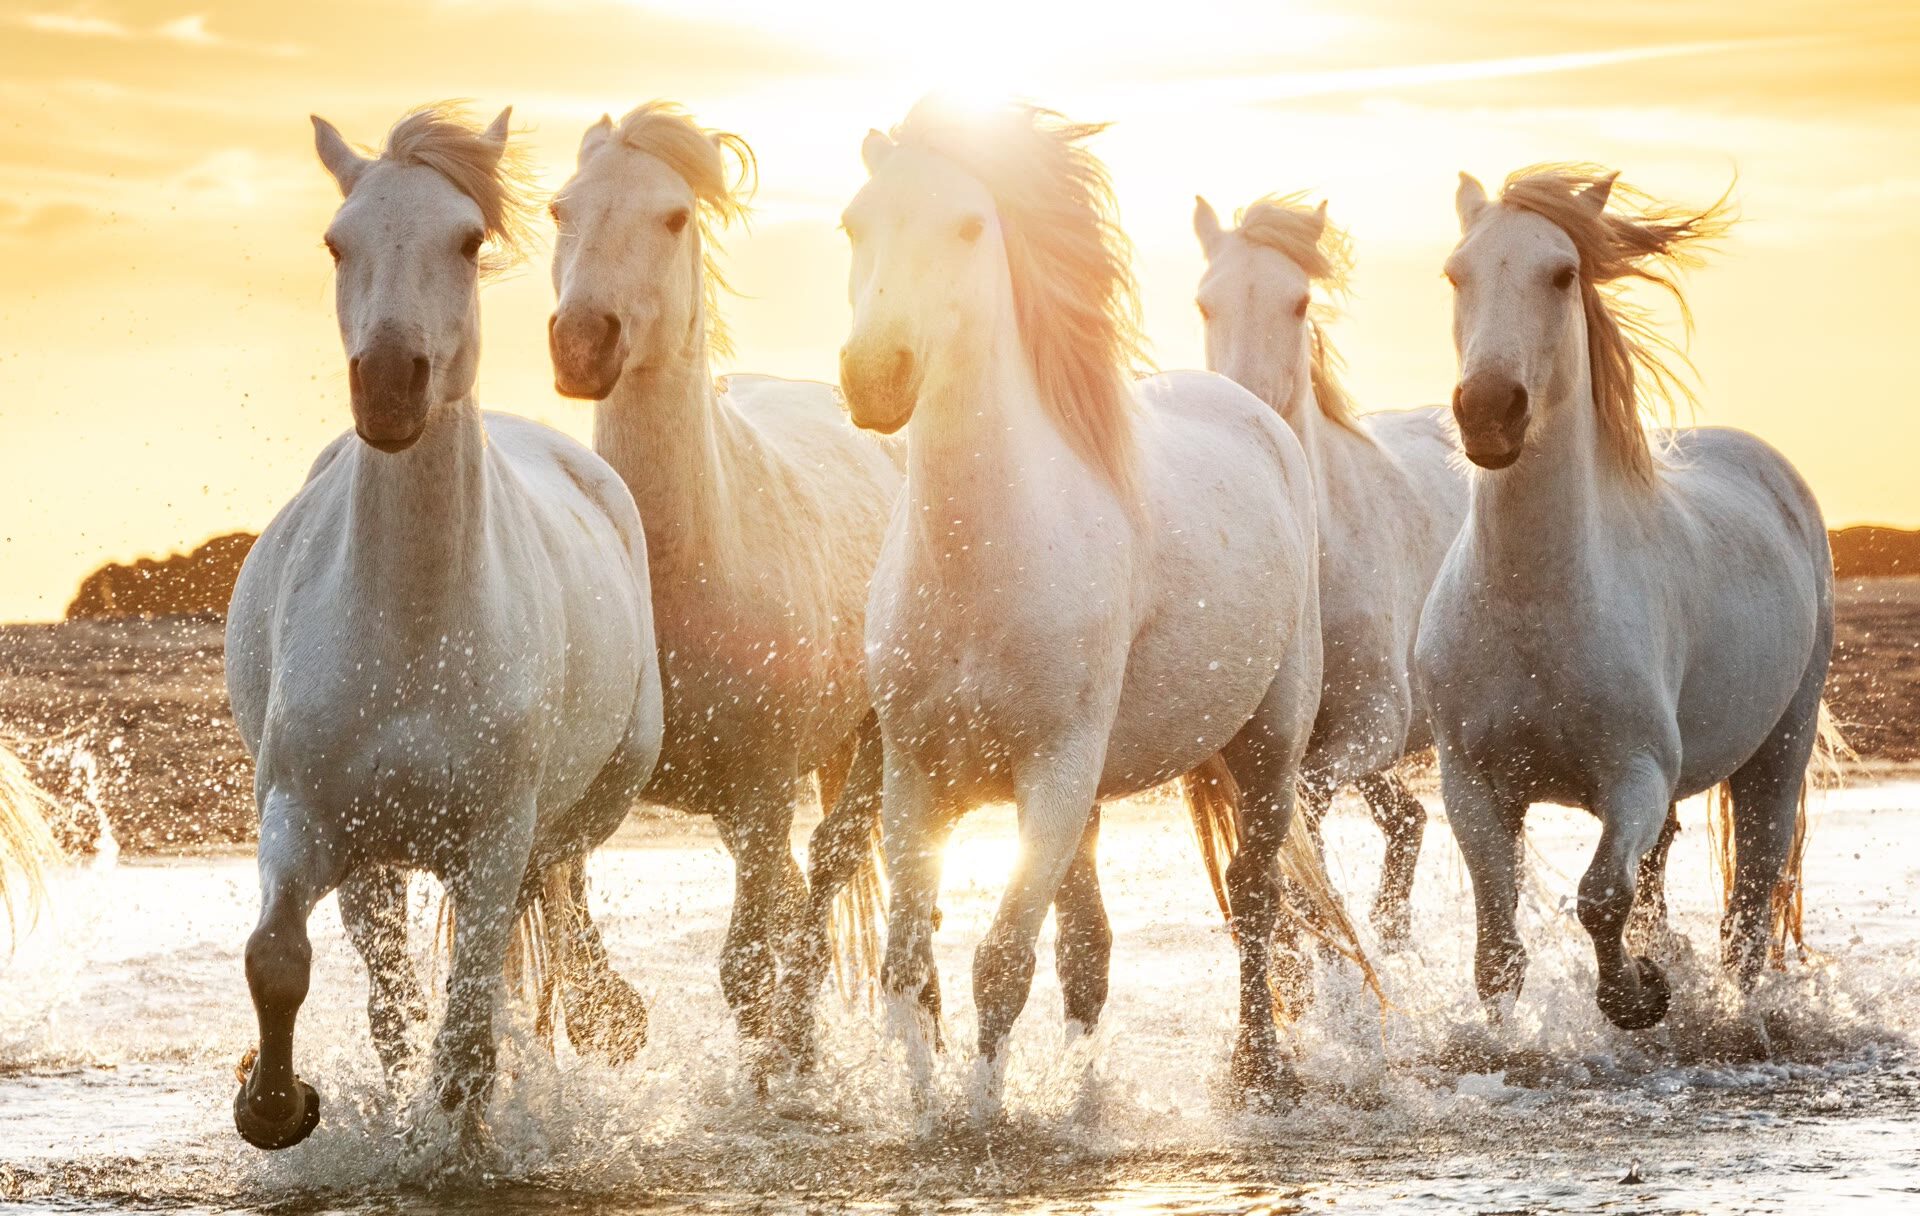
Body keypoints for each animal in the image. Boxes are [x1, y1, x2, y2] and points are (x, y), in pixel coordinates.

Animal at [222, 106, 660, 1144]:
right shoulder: (306, 819)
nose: (390, 384)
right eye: (336, 242)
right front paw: (278, 1103)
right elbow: (283, 961)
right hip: (379, 859)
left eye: (466, 240)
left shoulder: (493, 841)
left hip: (589, 797)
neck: (416, 631)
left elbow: (466, 1029)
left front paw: (456, 1138)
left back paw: (599, 1017)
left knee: (560, 898)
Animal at [549, 106, 906, 1068]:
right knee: (793, 887)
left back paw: (798, 1046)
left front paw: (766, 1076)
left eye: (674, 217)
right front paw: (607, 1016)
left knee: (825, 870)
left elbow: (745, 966)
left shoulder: (761, 790)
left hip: (860, 750)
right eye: (561, 208)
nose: (581, 344)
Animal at [840, 99, 1336, 1106]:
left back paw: (1258, 1069)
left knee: (1254, 897)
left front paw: (981, 1114)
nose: (874, 376)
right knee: (1090, 947)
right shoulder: (916, 779)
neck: (983, 562)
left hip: (1268, 746)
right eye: (853, 225)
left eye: (968, 226)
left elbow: (1000, 962)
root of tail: (1255, 414)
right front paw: (922, 1106)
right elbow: (912, 966)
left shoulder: (1055, 774)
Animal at [1190, 196, 1459, 948]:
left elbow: (1303, 816)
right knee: (1408, 822)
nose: (1249, 412)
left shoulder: (1376, 721)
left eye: (1300, 300)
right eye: (1205, 303)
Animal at [1420, 166, 1835, 1029]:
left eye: (1561, 273)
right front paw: (1507, 1041)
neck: (1534, 600)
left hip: (1781, 747)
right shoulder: (1472, 786)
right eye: (1454, 273)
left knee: (1749, 907)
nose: (1489, 411)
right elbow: (1498, 949)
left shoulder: (1634, 776)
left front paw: (1639, 993)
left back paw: (1733, 1012)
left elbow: (1599, 897)